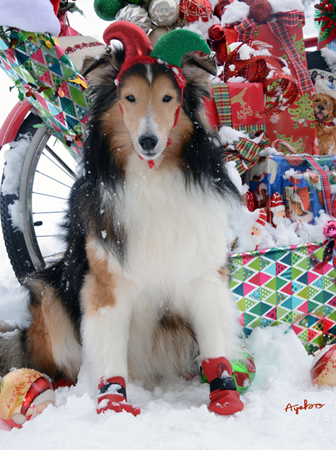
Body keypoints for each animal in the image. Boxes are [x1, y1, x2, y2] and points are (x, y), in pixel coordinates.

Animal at [0, 44, 243, 414]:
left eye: (168, 97)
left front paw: (225, 393)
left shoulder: (203, 274)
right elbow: (110, 350)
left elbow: (214, 340)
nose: (148, 140)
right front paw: (113, 403)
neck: (152, 180)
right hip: (50, 295)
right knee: (59, 364)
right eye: (129, 97)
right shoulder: (106, 285)